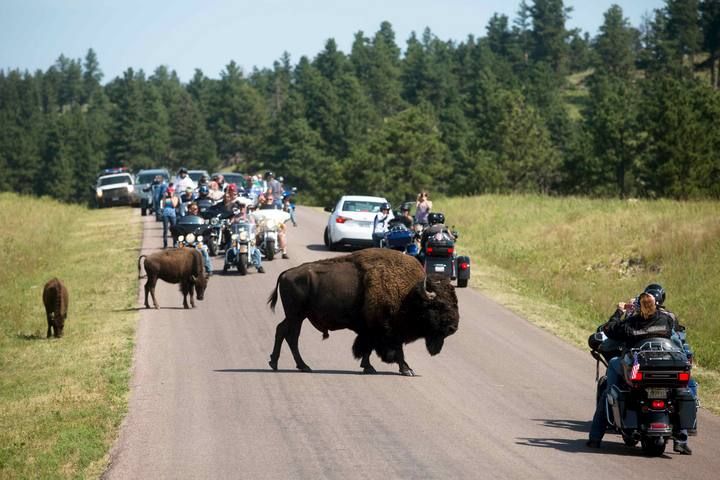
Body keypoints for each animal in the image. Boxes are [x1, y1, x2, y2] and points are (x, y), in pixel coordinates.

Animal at [268, 248, 458, 376]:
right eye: (439, 305)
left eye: (455, 302)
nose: (453, 328)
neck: (410, 294)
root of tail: (286, 273)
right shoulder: (386, 331)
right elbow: (392, 350)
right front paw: (406, 369)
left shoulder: (372, 330)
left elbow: (368, 349)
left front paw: (368, 367)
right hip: (296, 316)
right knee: (290, 335)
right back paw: (300, 366)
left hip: (297, 316)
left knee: (283, 332)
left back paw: (279, 363)